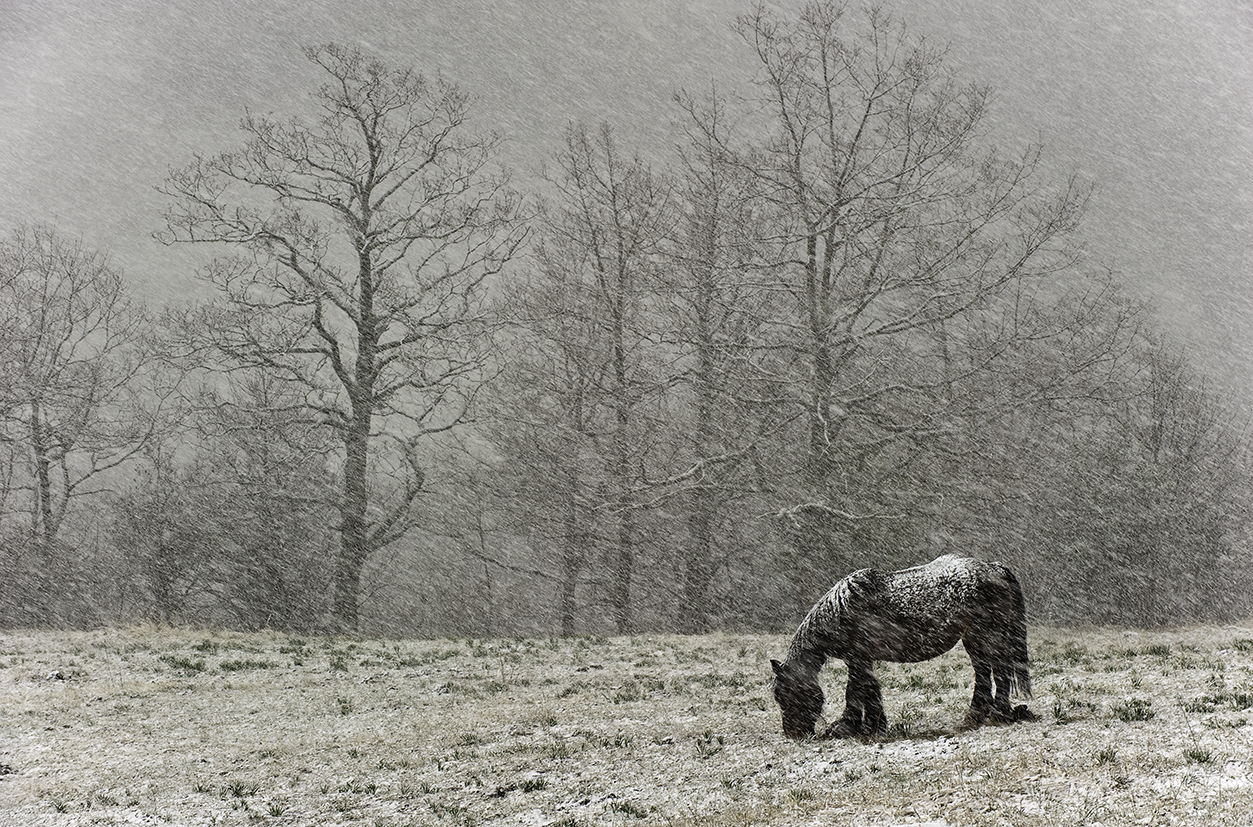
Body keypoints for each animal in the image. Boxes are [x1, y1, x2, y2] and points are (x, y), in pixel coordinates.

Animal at [770, 554, 1033, 740]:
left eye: (786, 694)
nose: (794, 734)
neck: (842, 609)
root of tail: (994, 567)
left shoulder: (857, 658)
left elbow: (854, 690)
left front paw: (847, 726)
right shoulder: (862, 658)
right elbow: (870, 689)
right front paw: (875, 725)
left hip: (989, 634)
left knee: (999, 671)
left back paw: (999, 713)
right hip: (973, 639)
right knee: (983, 673)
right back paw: (974, 716)